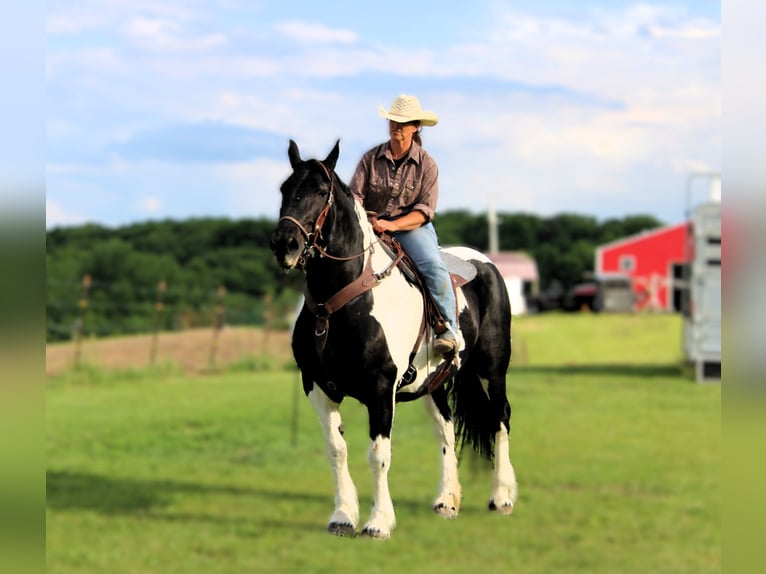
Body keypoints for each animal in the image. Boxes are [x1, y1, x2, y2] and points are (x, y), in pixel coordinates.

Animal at [269, 139, 517, 539]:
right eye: (284, 189)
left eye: (321, 192)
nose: (284, 244)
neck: (336, 304)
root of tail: (485, 264)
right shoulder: (317, 387)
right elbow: (336, 449)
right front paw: (343, 517)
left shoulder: (381, 388)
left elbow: (379, 455)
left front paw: (378, 522)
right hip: (435, 383)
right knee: (446, 429)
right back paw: (446, 501)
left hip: (492, 369)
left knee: (500, 419)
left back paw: (502, 497)